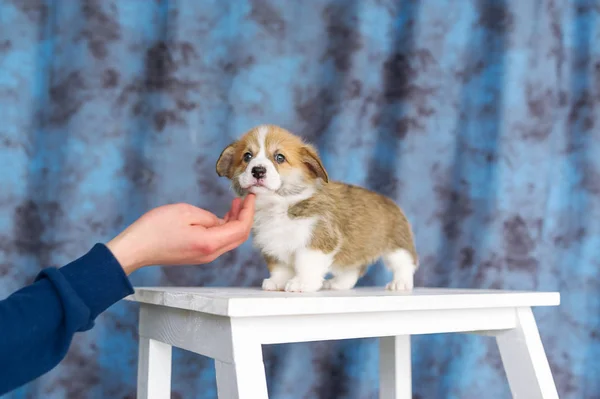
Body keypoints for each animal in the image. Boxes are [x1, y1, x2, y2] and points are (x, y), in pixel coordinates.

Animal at [216, 125, 418, 294]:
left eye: (279, 158)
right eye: (247, 156)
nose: (258, 170)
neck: (280, 205)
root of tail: (390, 202)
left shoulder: (317, 239)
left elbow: (307, 264)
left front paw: (301, 283)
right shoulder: (272, 243)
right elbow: (280, 267)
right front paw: (278, 282)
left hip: (397, 246)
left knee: (406, 264)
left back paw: (400, 283)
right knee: (352, 269)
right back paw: (338, 284)